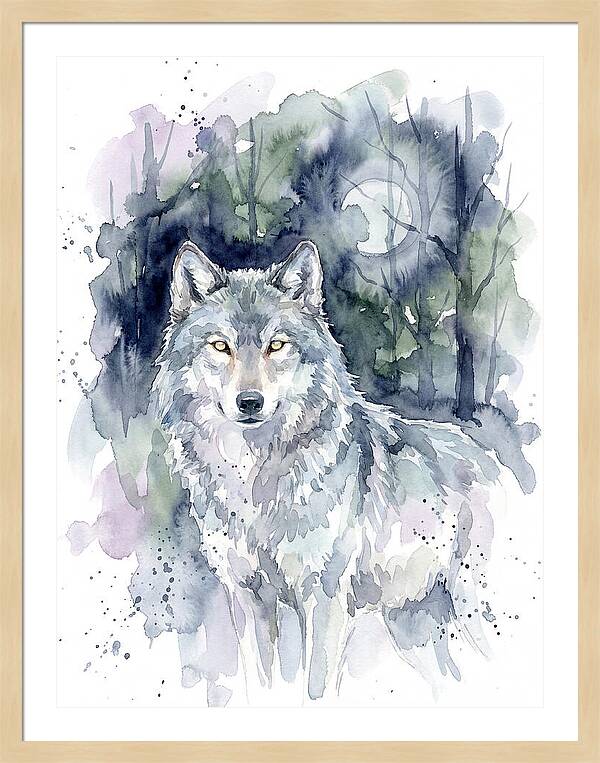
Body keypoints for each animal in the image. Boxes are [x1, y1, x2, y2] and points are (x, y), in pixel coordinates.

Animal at [153, 239, 500, 701]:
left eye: (276, 346)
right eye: (220, 346)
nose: (250, 402)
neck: (256, 481)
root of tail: (493, 458)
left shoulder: (324, 597)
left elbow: (314, 687)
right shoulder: (248, 598)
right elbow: (261, 684)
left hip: (474, 614)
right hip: (414, 629)